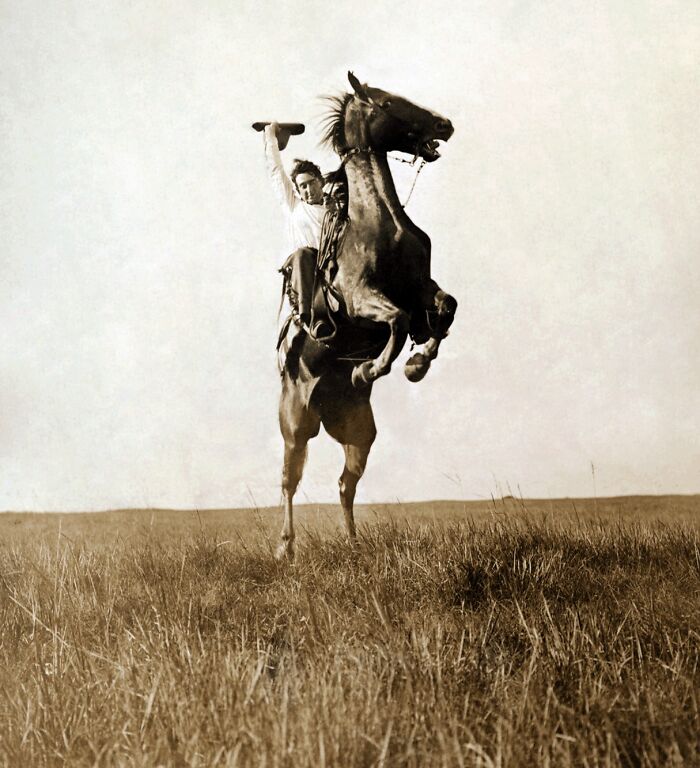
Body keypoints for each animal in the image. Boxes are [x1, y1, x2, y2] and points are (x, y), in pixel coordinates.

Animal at [276, 72, 457, 559]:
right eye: (388, 102)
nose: (446, 124)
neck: (378, 221)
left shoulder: (421, 290)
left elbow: (446, 310)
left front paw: (417, 363)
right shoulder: (360, 300)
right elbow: (396, 322)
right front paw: (370, 369)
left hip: (358, 434)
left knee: (345, 484)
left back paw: (354, 543)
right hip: (296, 428)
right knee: (289, 482)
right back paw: (286, 549)